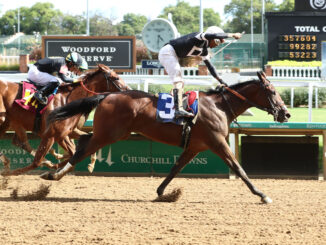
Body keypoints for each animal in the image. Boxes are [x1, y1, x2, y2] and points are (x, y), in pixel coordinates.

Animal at [0, 64, 130, 176]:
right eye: (116, 77)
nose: (128, 90)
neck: (68, 100)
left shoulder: (66, 133)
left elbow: (77, 149)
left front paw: (88, 165)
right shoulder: (52, 135)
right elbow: (38, 162)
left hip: (10, 122)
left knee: (19, 142)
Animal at [41, 72, 290, 204]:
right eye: (273, 92)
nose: (286, 113)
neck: (219, 106)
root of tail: (107, 95)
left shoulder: (195, 146)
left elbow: (175, 168)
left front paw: (163, 192)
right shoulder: (217, 142)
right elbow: (239, 168)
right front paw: (262, 194)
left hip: (111, 133)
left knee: (82, 143)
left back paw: (54, 171)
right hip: (110, 134)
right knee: (84, 149)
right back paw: (53, 175)